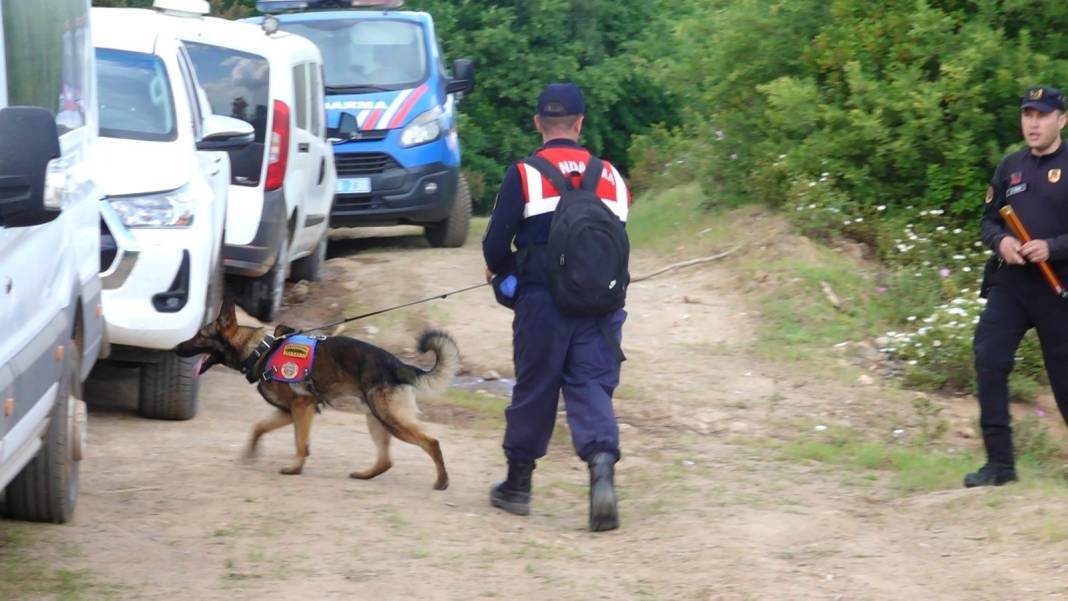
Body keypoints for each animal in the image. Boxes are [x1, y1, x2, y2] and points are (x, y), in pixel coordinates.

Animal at [175, 298, 459, 491]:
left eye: (200, 335)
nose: (177, 347)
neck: (260, 350)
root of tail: (399, 365)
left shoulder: (303, 406)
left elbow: (300, 442)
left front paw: (295, 468)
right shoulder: (288, 411)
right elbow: (259, 427)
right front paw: (251, 453)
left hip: (391, 419)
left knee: (431, 442)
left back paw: (442, 480)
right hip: (376, 419)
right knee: (386, 460)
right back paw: (364, 475)